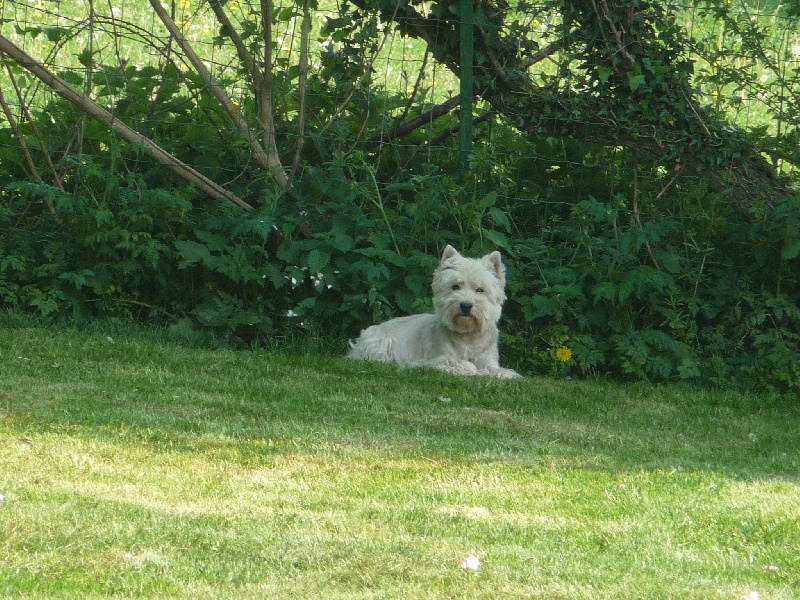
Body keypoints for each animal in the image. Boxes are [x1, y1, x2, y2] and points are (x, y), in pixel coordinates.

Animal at [346, 245, 520, 378]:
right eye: (455, 287)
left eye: (480, 290)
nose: (465, 305)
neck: (468, 336)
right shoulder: (432, 360)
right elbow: (459, 362)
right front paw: (472, 370)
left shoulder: (488, 360)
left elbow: (498, 370)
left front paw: (504, 374)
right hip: (380, 343)